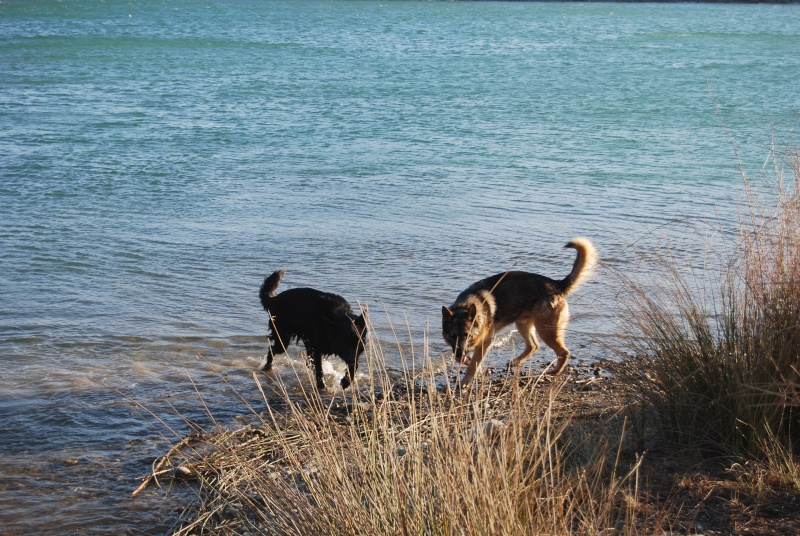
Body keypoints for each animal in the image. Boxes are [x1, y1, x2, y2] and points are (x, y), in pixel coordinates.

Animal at [440, 239, 596, 386]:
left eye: (467, 335)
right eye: (453, 336)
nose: (460, 354)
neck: (468, 305)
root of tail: (556, 284)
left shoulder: (486, 341)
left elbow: (473, 365)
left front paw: (465, 382)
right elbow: (471, 361)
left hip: (545, 330)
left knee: (563, 352)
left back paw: (554, 372)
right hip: (523, 325)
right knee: (534, 346)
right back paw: (516, 362)